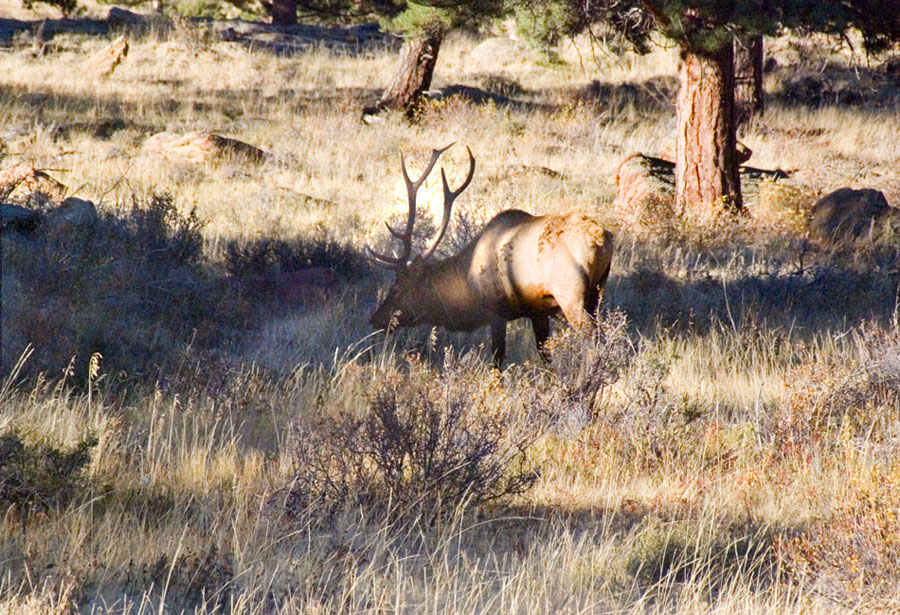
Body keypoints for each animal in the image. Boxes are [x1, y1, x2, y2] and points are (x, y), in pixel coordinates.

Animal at [366, 142, 612, 368]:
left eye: (396, 288)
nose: (375, 319)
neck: (467, 287)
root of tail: (601, 239)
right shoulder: (537, 311)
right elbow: (545, 357)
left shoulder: (496, 312)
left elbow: (497, 360)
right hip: (597, 292)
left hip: (570, 293)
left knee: (592, 339)